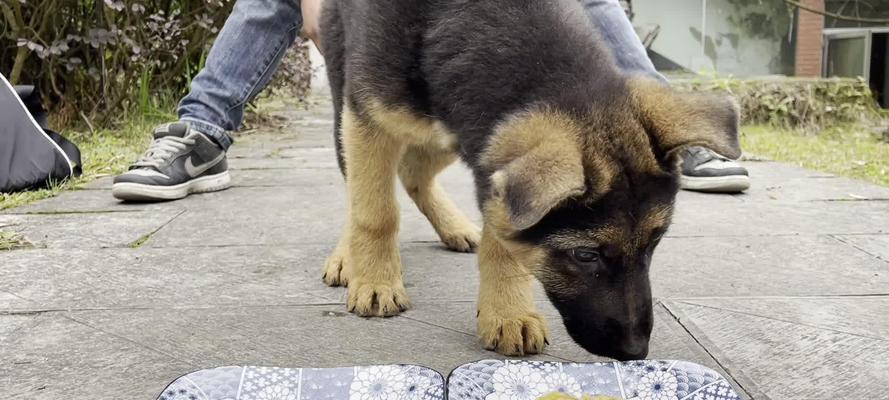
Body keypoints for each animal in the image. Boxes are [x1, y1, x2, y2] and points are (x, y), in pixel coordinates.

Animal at [320, 0, 744, 360]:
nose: (636, 352)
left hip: (447, 133)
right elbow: (376, 212)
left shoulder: (482, 147)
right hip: (348, 107)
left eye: (655, 242)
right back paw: (348, 258)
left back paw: (455, 227)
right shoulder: (370, 117)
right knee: (359, 187)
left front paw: (508, 313)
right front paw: (377, 281)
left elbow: (504, 239)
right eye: (584, 255)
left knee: (412, 170)